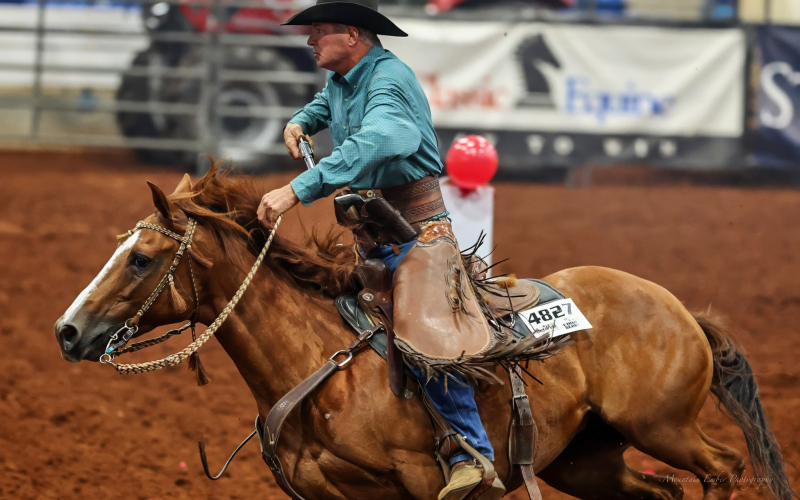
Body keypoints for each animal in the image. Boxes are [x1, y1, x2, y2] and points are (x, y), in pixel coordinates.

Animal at [54, 167, 795, 500]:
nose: (67, 330)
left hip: (662, 426)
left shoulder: (419, 486)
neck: (322, 365)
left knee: (723, 467)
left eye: (141, 258)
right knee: (661, 490)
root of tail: (678, 308)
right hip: (588, 459)